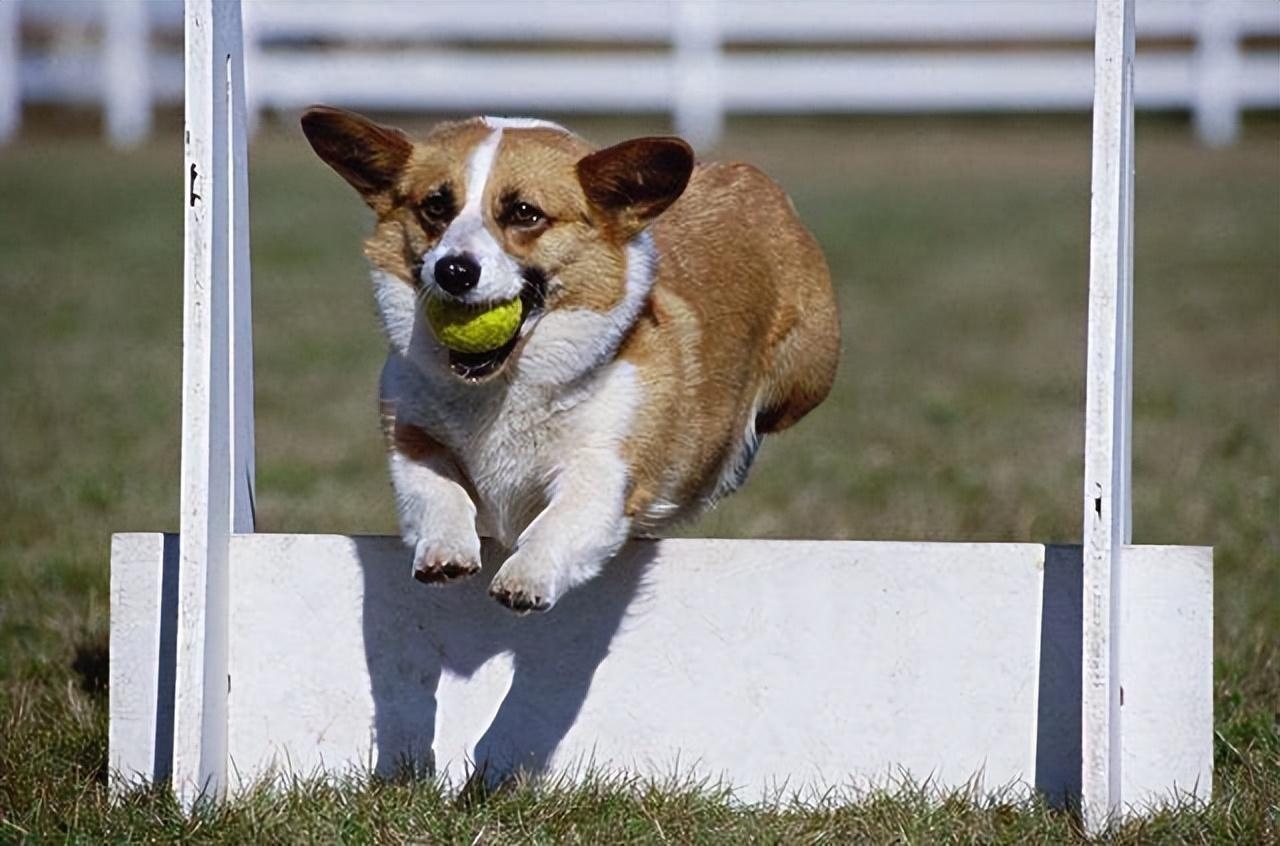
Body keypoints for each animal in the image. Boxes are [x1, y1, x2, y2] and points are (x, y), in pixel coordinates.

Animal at [299, 108, 839, 609]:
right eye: (435, 206)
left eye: (524, 212)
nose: (453, 270)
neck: (503, 385)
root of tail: (747, 174)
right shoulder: (410, 431)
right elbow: (436, 488)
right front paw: (445, 552)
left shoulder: (605, 466)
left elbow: (558, 521)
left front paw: (526, 577)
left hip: (804, 378)